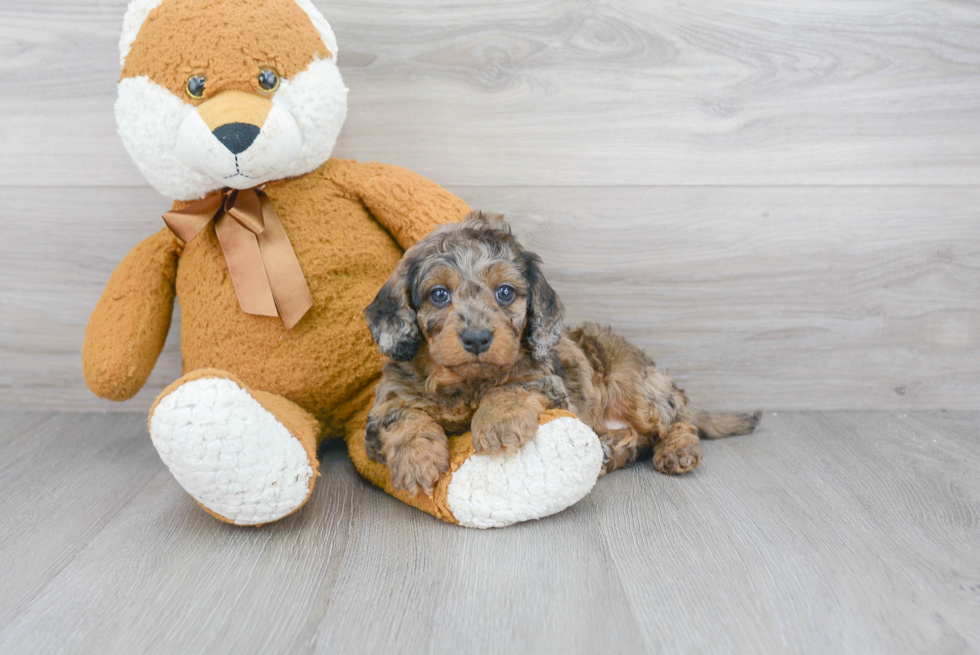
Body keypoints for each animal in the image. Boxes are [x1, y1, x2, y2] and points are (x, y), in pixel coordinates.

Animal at [364, 213, 760, 494]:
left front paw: (498, 424)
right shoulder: (387, 401)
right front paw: (417, 460)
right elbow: (403, 418)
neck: (468, 381)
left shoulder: (547, 380)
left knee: (678, 420)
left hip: (635, 388)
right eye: (439, 295)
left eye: (505, 292)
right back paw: (609, 450)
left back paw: (676, 450)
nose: (477, 339)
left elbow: (510, 388)